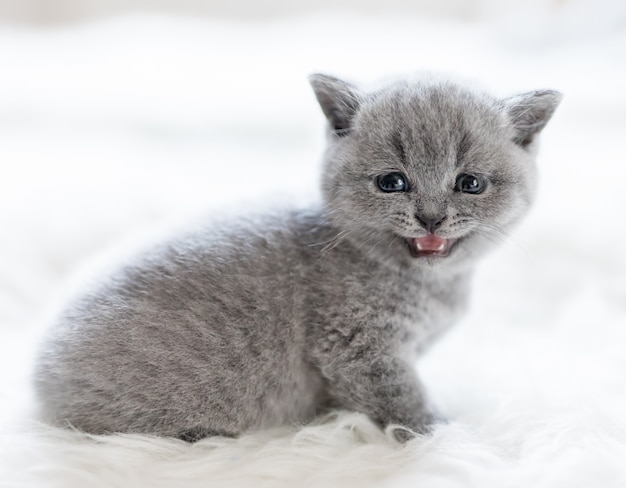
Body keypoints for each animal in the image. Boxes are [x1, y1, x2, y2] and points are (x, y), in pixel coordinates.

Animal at [34, 73, 560, 442]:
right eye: (392, 182)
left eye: (470, 183)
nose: (430, 218)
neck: (428, 283)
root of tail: (40, 376)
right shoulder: (358, 349)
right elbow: (403, 400)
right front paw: (445, 435)